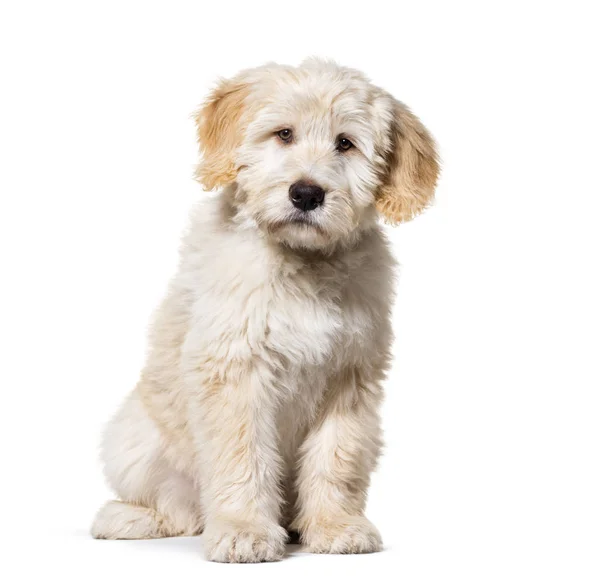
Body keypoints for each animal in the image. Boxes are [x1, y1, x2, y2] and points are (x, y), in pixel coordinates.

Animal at [91, 57, 438, 560]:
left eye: (345, 143)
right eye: (284, 134)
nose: (306, 194)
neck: (303, 263)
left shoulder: (349, 377)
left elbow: (336, 456)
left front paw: (334, 525)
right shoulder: (235, 370)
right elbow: (244, 455)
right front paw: (244, 529)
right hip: (132, 439)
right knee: (179, 508)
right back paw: (128, 517)